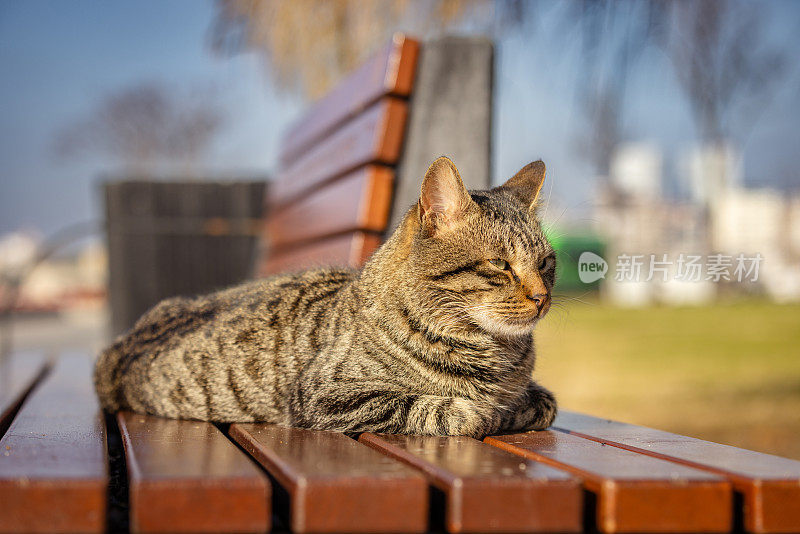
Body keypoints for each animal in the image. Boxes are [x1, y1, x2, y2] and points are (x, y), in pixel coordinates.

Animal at [94, 157, 556, 438]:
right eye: (499, 264)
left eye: (546, 262)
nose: (541, 297)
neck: (497, 353)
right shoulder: (326, 396)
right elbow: (448, 409)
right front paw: (488, 411)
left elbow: (544, 402)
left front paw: (514, 406)